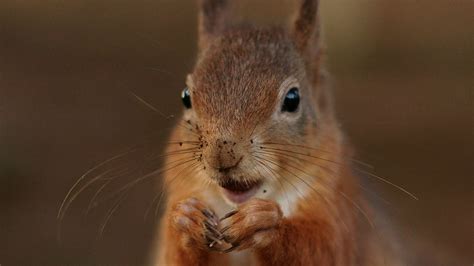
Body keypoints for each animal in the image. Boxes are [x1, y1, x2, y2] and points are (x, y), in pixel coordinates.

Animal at [152, 1, 404, 264]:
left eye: (293, 99)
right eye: (185, 97)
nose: (221, 157)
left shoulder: (339, 212)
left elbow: (323, 250)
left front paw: (263, 223)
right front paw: (186, 219)